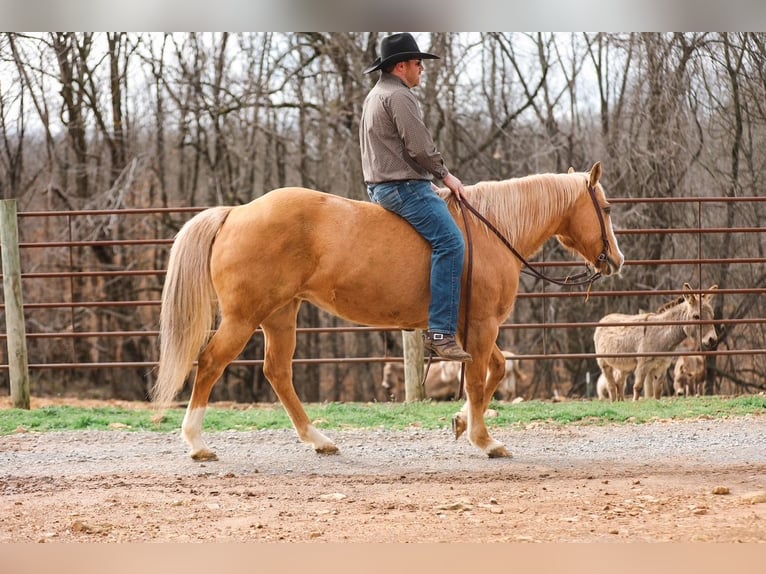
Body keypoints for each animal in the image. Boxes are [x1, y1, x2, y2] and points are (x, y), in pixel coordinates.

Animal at [153, 161, 624, 460]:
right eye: (605, 207)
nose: (616, 260)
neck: (492, 230)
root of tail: (234, 213)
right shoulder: (482, 325)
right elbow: (477, 380)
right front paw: (485, 440)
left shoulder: (471, 330)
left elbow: (497, 370)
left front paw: (461, 422)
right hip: (244, 318)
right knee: (210, 363)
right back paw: (197, 443)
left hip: (280, 315)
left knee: (278, 373)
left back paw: (318, 440)